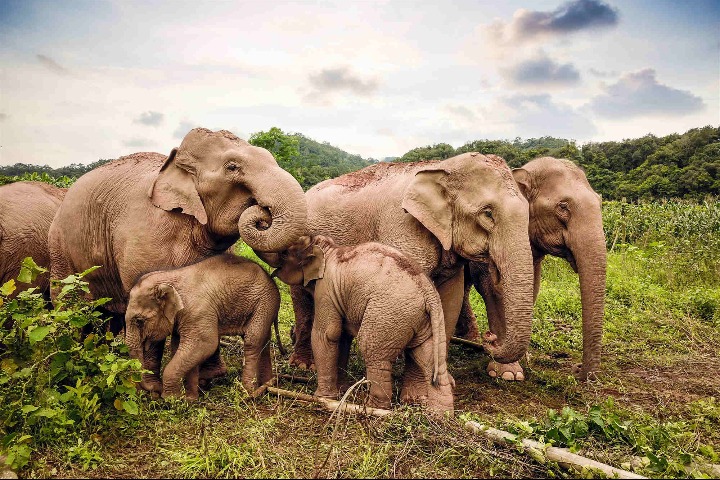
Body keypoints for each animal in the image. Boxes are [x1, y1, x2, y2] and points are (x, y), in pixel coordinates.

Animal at [124, 254, 280, 400]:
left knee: (252, 341)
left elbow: (205, 344)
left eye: (139, 321)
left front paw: (171, 399)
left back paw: (248, 391)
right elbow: (181, 346)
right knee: (264, 341)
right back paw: (267, 384)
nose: (154, 391)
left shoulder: (197, 312)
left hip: (264, 302)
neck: (169, 278)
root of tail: (270, 278)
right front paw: (190, 399)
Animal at [266, 235, 454, 414]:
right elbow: (342, 336)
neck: (328, 248)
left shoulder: (326, 290)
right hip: (425, 321)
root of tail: (429, 293)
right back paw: (440, 415)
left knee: (373, 351)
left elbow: (326, 334)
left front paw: (322, 397)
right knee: (428, 358)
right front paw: (340, 391)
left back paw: (373, 407)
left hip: (387, 315)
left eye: (285, 253)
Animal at [277, 153, 534, 373]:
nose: (490, 338)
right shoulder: (402, 227)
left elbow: (449, 300)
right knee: (302, 299)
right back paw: (304, 365)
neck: (442, 167)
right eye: (487, 213)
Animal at [457, 157, 606, 381]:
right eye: (563, 206)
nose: (577, 369)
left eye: (600, 202)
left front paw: (525, 358)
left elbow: (532, 287)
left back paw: (470, 338)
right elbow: (492, 289)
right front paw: (508, 373)